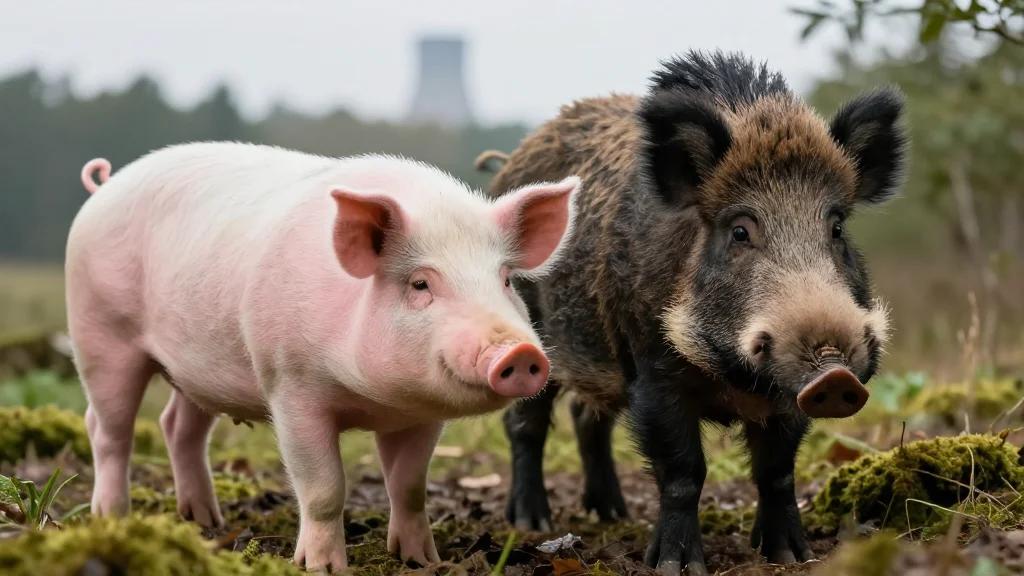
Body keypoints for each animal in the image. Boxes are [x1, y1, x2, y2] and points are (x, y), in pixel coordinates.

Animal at [66, 142, 579, 572]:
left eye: (506, 280)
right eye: (420, 284)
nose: (521, 352)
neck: (378, 401)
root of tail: (106, 186)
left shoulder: (422, 416)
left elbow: (409, 487)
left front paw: (422, 561)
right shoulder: (289, 385)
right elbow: (324, 488)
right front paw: (322, 567)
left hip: (197, 367)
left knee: (178, 426)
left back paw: (205, 523)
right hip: (100, 333)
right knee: (108, 429)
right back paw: (111, 518)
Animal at [481, 51, 905, 575]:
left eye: (838, 227)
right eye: (740, 230)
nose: (834, 375)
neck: (731, 379)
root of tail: (508, 167)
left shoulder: (787, 397)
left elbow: (777, 470)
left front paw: (790, 554)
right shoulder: (653, 371)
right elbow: (683, 471)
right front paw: (676, 566)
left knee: (587, 417)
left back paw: (612, 514)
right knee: (527, 424)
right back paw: (531, 523)